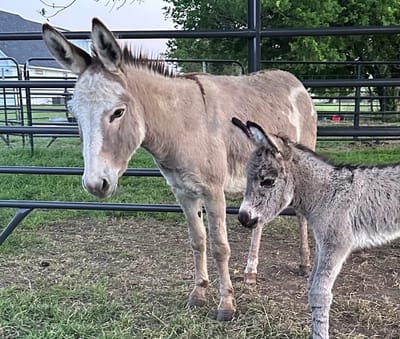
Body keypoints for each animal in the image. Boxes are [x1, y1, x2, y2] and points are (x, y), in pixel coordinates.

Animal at [231, 117, 400, 339]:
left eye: (267, 181)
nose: (243, 218)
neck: (326, 194)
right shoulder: (321, 243)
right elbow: (311, 284)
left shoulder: (336, 244)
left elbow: (319, 293)